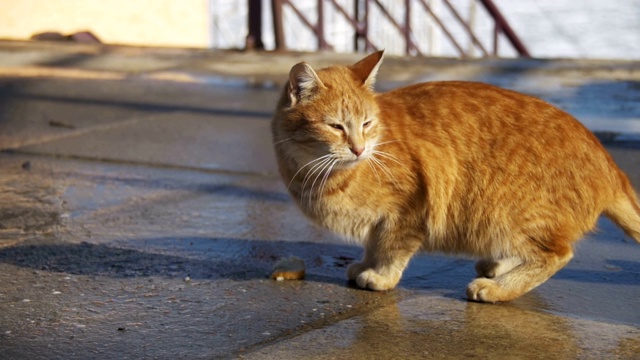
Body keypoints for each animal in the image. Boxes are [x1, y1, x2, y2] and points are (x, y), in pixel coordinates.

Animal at [270, 50, 640, 302]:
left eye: (366, 124)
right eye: (336, 126)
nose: (360, 149)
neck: (317, 174)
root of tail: (609, 162)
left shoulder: (409, 208)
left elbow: (392, 247)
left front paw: (381, 276)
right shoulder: (380, 222)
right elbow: (374, 244)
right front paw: (365, 265)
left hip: (506, 211)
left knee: (557, 254)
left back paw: (498, 288)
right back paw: (498, 266)